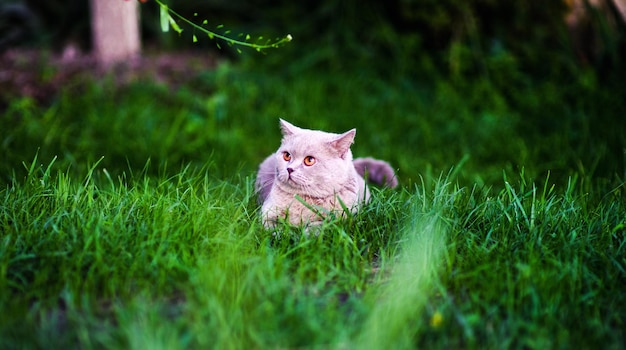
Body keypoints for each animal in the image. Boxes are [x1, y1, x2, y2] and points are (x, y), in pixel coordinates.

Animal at [254, 119, 394, 230]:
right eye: (287, 156)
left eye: (309, 160)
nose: (289, 169)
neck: (304, 199)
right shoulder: (268, 211)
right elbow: (271, 227)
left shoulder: (342, 218)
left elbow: (319, 227)